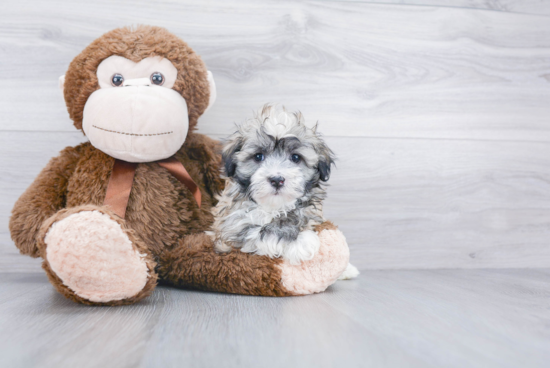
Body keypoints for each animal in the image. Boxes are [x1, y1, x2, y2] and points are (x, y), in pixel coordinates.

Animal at [212, 105, 362, 278]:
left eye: (295, 158)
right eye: (258, 156)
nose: (277, 179)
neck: (274, 206)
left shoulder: (313, 215)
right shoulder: (231, 226)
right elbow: (259, 230)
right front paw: (302, 243)